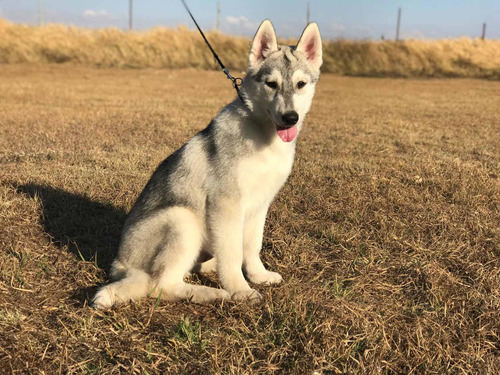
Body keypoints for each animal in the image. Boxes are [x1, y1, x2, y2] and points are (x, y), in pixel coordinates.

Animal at [92, 19, 322, 310]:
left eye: (301, 84)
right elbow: (233, 255)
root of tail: (121, 265)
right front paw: (240, 290)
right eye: (271, 84)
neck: (264, 137)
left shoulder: (259, 205)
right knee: (161, 285)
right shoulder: (226, 205)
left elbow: (252, 247)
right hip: (183, 219)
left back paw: (209, 268)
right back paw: (211, 293)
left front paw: (258, 276)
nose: (291, 118)